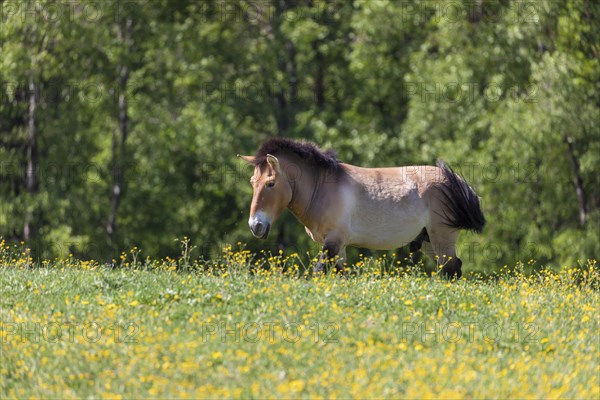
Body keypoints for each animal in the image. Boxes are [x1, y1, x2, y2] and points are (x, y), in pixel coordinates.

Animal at [237, 138, 486, 278]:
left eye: (270, 183)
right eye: (252, 182)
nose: (255, 225)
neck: (322, 188)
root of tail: (453, 181)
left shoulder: (333, 240)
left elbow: (319, 272)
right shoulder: (339, 246)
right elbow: (341, 275)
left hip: (441, 238)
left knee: (450, 270)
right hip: (427, 241)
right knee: (453, 268)